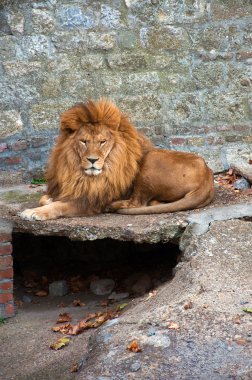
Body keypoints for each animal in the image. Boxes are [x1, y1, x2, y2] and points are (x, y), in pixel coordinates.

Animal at [19, 98, 214, 221]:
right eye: (84, 141)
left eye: (102, 142)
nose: (92, 160)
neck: (77, 172)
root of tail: (208, 177)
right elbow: (45, 199)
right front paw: (48, 200)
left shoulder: (90, 201)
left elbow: (58, 206)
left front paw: (33, 212)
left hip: (151, 160)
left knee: (137, 203)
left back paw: (113, 205)